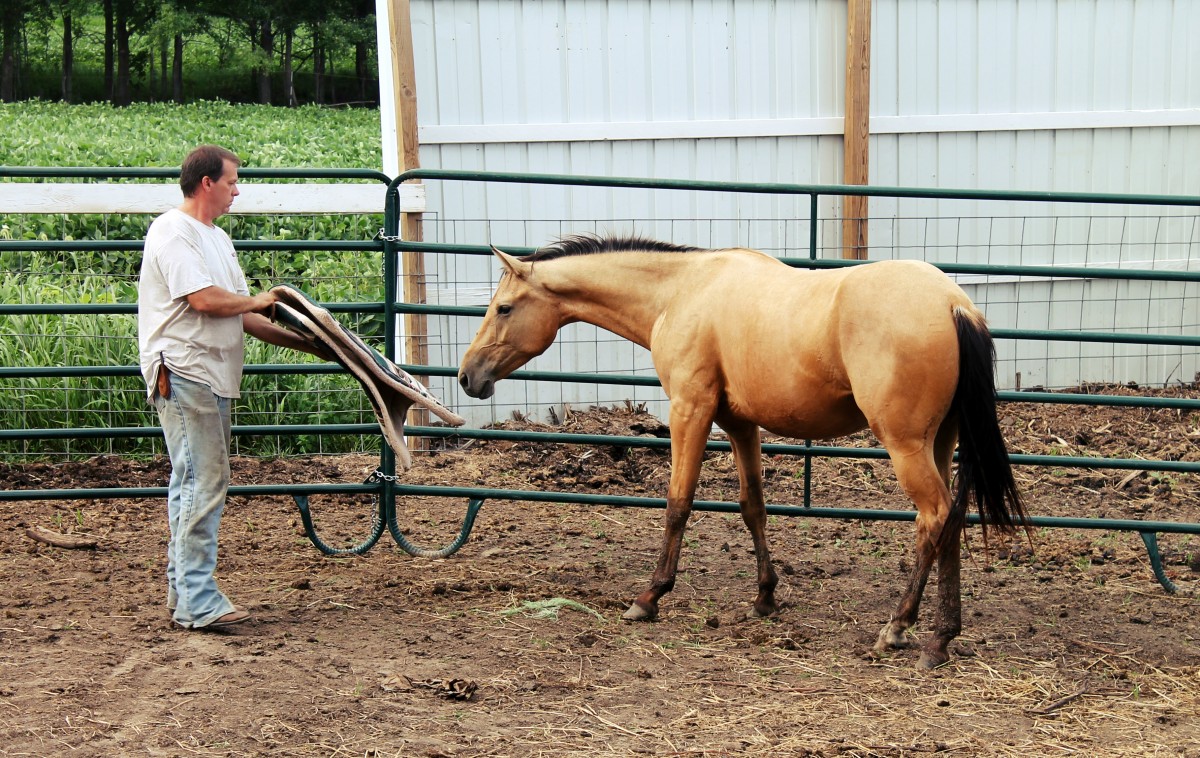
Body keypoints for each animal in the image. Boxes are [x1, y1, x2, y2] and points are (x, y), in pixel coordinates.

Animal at [453, 235, 1027, 666]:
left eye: (503, 308)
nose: (466, 376)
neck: (681, 291)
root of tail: (955, 303)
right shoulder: (739, 424)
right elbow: (754, 507)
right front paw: (765, 597)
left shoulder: (690, 410)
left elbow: (678, 504)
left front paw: (649, 598)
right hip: (941, 443)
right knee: (951, 519)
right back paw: (940, 637)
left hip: (905, 445)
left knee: (934, 516)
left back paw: (902, 629)